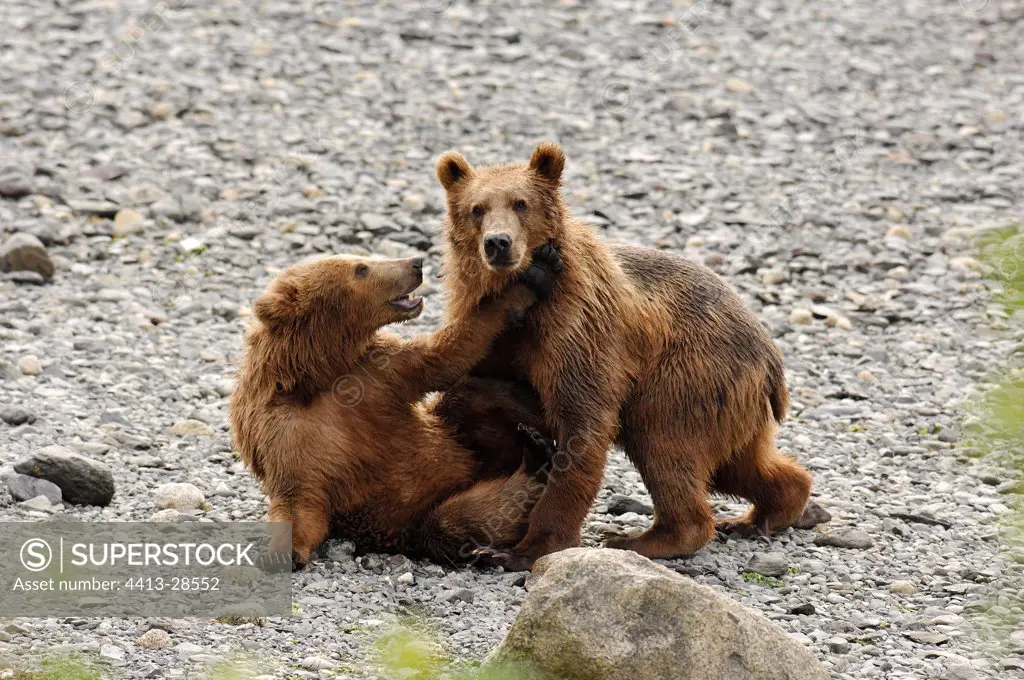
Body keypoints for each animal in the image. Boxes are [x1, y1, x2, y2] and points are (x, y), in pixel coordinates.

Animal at [230, 246, 561, 565]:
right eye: (361, 268)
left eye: (360, 259)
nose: (416, 263)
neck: (319, 373)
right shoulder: (287, 432)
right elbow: (299, 497)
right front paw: (283, 551)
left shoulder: (382, 374)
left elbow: (447, 355)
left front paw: (535, 273)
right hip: (411, 521)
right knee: (451, 521)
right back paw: (534, 461)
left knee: (472, 399)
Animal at [436, 142, 811, 569]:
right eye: (477, 208)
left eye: (520, 203)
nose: (498, 243)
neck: (529, 308)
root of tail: (769, 352)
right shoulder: (490, 329)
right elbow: (473, 386)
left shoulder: (578, 329)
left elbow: (582, 422)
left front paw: (523, 548)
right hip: (729, 403)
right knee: (739, 464)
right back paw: (763, 513)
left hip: (686, 374)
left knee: (664, 445)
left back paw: (640, 538)